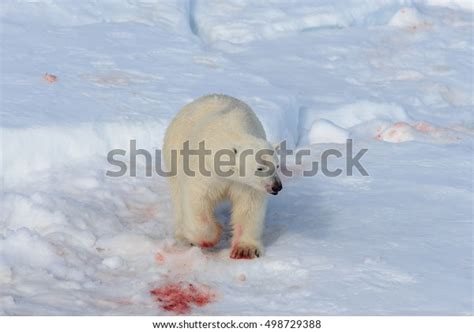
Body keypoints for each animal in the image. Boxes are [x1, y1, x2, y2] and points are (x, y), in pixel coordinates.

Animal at [163, 93, 282, 260]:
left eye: (277, 166)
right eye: (260, 168)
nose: (277, 186)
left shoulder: (246, 184)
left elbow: (248, 206)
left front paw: (245, 250)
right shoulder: (204, 168)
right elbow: (197, 198)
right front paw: (211, 237)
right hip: (174, 149)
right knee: (178, 195)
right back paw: (183, 236)